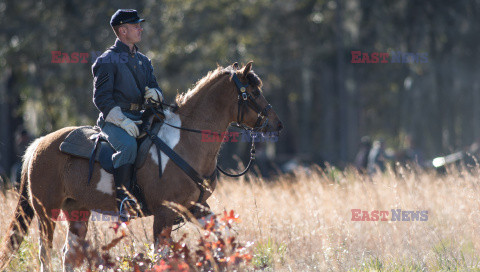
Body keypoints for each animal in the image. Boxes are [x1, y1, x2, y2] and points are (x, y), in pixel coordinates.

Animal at [0, 62, 282, 270]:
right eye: (254, 93)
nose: (277, 124)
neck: (186, 141)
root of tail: (37, 145)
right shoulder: (164, 215)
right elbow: (161, 257)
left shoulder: (197, 207)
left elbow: (224, 237)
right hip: (47, 212)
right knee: (45, 253)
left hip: (78, 211)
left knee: (68, 253)